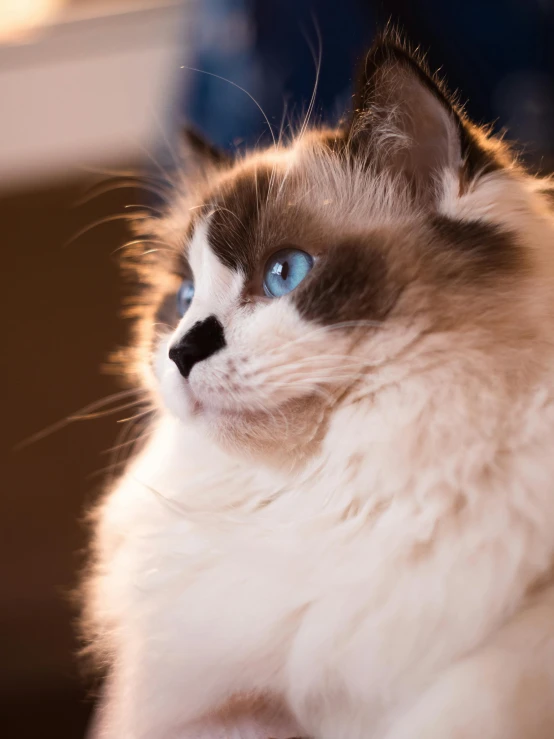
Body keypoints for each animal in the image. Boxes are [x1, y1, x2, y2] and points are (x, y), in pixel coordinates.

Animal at [83, 33, 554, 739]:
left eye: (285, 274)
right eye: (185, 299)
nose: (180, 351)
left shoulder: (503, 660)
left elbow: (472, 696)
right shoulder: (225, 705)